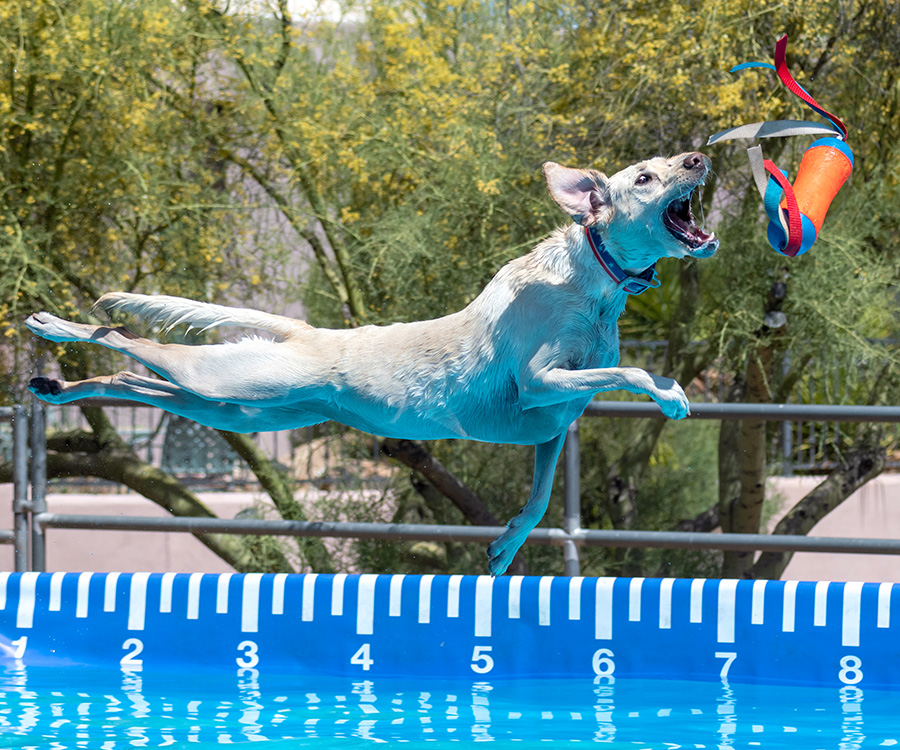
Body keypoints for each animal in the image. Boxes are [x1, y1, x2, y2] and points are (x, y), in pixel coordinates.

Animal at [28, 153, 716, 576]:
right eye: (646, 177)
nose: (697, 158)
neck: (593, 283)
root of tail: (306, 332)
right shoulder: (541, 381)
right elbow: (633, 374)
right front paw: (671, 392)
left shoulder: (554, 423)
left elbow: (543, 494)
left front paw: (505, 547)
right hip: (238, 383)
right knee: (138, 344)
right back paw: (56, 327)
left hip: (245, 408)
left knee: (135, 376)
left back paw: (57, 385)